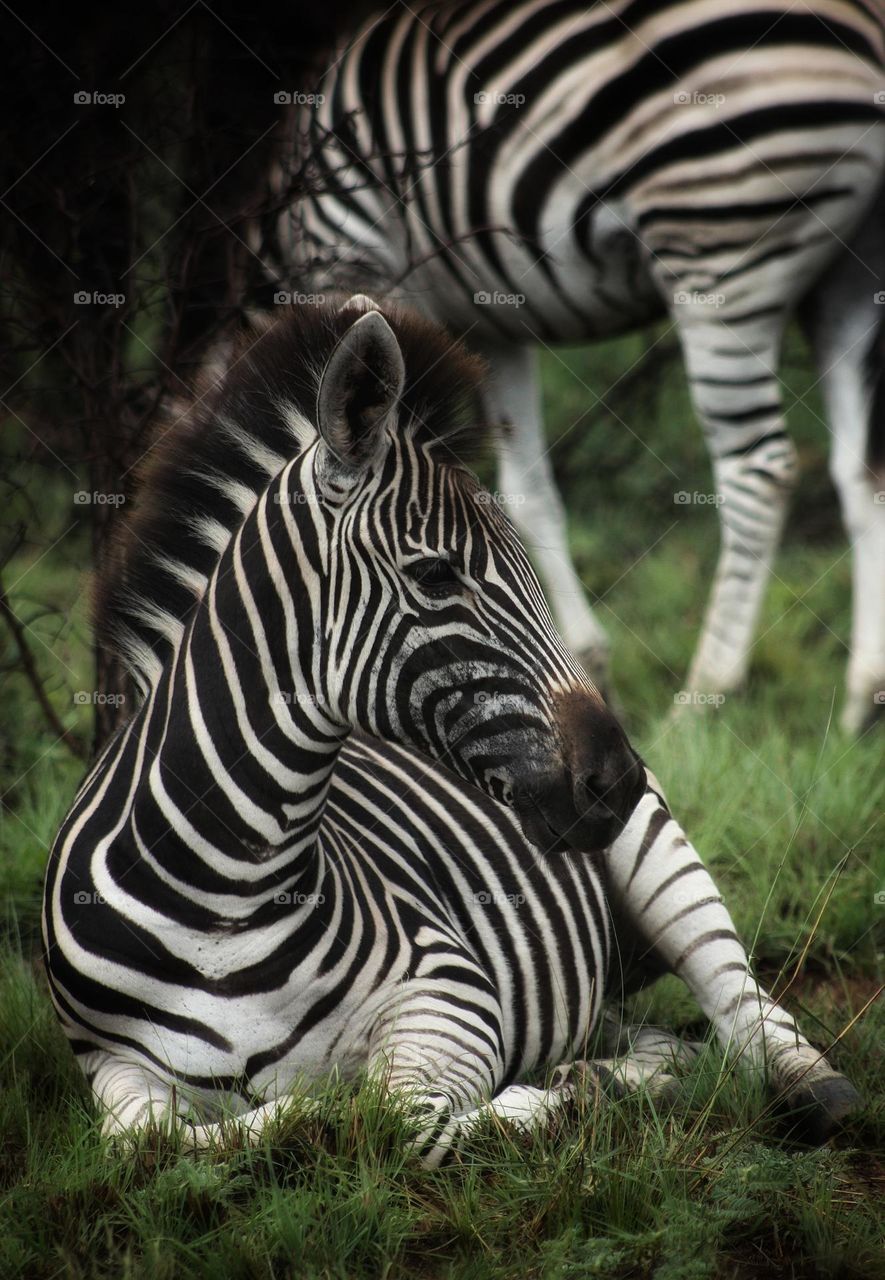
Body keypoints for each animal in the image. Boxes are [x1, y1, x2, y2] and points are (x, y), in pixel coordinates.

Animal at [43, 296, 859, 1165]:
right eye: (436, 574)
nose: (618, 779)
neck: (220, 903)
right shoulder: (109, 1061)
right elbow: (153, 1140)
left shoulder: (449, 990)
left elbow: (393, 1117)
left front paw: (553, 1102)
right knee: (666, 1040)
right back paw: (625, 1073)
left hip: (661, 863)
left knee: (741, 1009)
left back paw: (787, 1088)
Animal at [272, 0, 885, 733]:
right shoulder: (492, 327)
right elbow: (519, 494)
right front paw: (586, 667)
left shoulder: (358, 260)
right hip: (849, 273)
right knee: (860, 470)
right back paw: (862, 702)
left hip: (718, 248)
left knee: (759, 472)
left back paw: (701, 698)